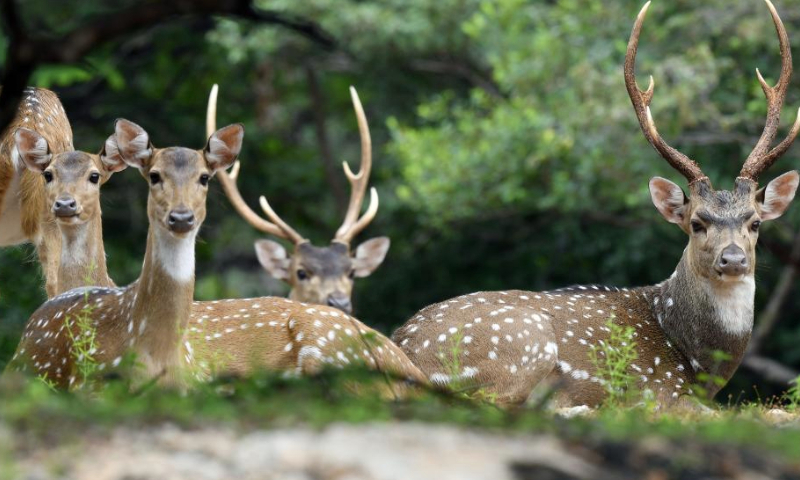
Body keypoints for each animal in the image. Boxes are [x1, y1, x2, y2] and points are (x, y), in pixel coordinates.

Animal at [392, 0, 800, 408]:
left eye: (755, 223)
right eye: (697, 223)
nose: (733, 260)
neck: (698, 363)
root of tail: (402, 347)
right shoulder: (662, 389)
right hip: (523, 341)